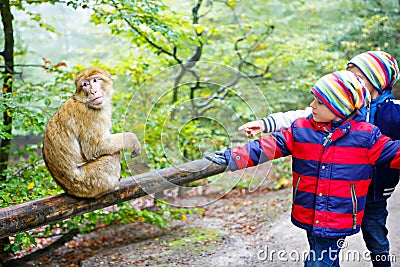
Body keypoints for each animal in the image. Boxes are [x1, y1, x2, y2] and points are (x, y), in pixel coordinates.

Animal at [43, 68, 141, 199]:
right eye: (85, 84)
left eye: (95, 80)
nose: (93, 91)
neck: (85, 102)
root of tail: (70, 190)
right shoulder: (90, 116)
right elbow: (95, 148)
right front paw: (132, 139)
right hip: (90, 181)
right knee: (113, 154)